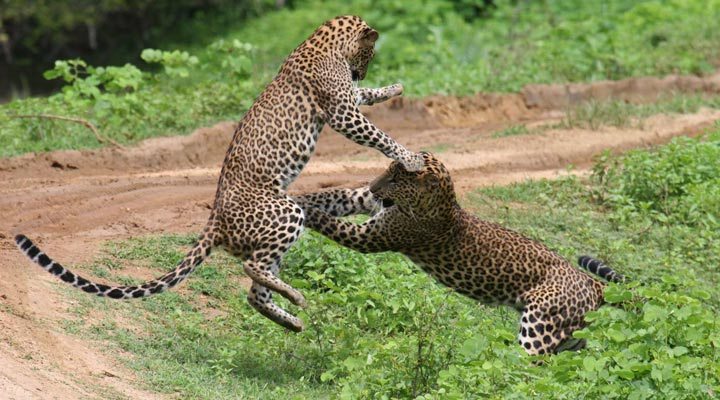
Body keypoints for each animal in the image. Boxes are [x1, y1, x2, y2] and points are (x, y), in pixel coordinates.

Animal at [14, 15, 424, 332]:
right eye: (370, 53)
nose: (361, 71)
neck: (322, 40)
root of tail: (215, 219)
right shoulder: (341, 112)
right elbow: (378, 134)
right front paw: (411, 158)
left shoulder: (347, 100)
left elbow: (365, 96)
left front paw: (394, 87)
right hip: (285, 213)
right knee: (251, 267)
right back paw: (295, 297)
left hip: (276, 230)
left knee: (255, 291)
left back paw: (292, 320)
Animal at [296, 152, 628, 354]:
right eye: (386, 172)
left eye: (395, 178)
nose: (375, 187)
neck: (441, 200)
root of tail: (590, 282)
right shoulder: (365, 202)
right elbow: (333, 195)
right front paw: (295, 197)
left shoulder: (372, 236)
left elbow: (329, 220)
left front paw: (303, 211)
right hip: (569, 336)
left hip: (540, 323)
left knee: (527, 364)